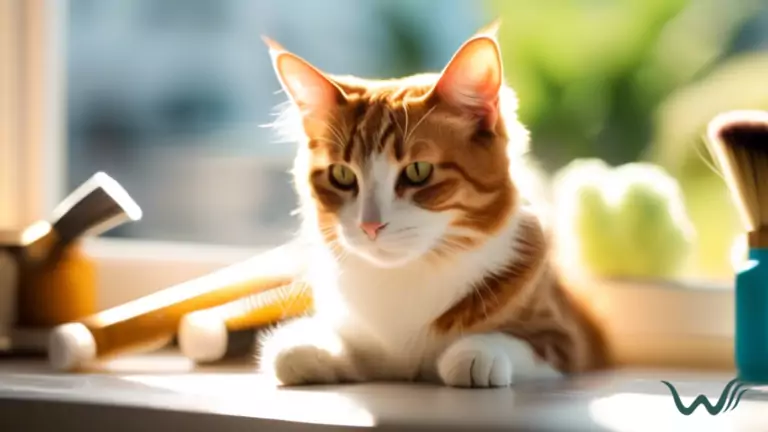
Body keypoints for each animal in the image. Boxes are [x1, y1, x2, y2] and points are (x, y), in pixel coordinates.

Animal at [260, 22, 608, 388]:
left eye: (418, 171)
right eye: (342, 175)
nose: (370, 226)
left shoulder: (569, 339)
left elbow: (517, 343)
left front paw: (476, 353)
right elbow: (298, 351)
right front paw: (308, 347)